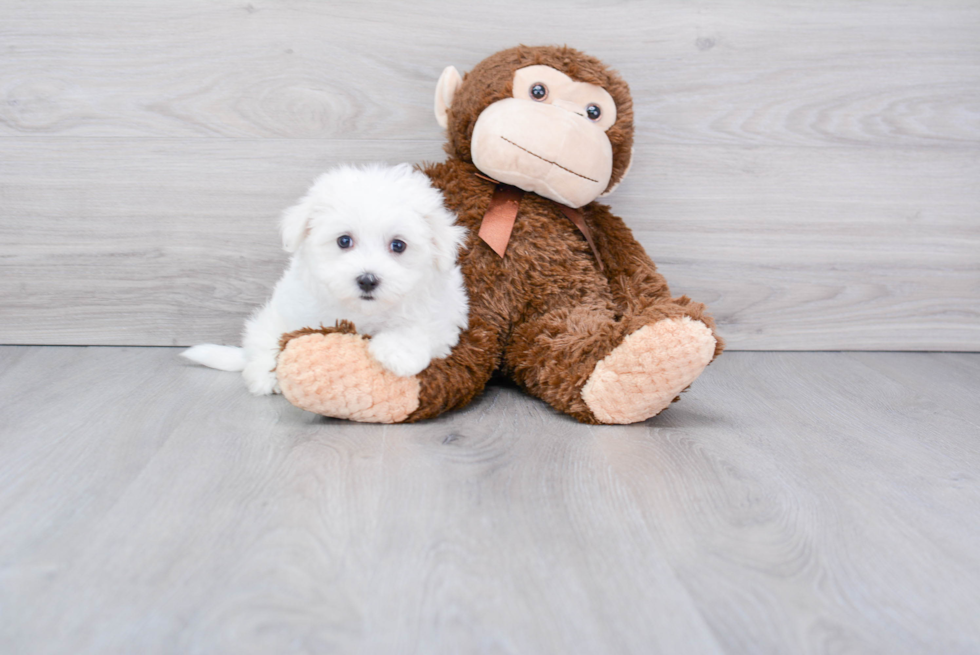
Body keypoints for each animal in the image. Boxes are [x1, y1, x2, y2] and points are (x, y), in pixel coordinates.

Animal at [182, 167, 468, 398]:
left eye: (398, 245)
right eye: (344, 241)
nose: (367, 280)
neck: (365, 312)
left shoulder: (444, 315)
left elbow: (420, 327)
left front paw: (397, 353)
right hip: (269, 318)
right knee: (262, 344)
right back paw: (265, 376)